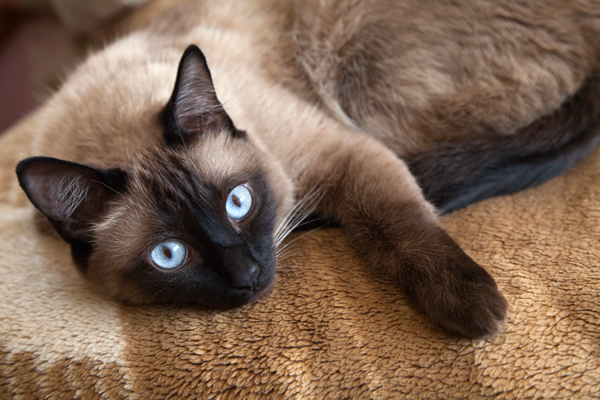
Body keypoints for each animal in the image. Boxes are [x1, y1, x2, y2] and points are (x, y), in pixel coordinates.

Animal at [12, 0, 600, 338]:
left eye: (239, 202)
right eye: (169, 255)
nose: (248, 276)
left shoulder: (346, 152)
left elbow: (403, 225)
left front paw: (475, 311)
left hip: (360, 78)